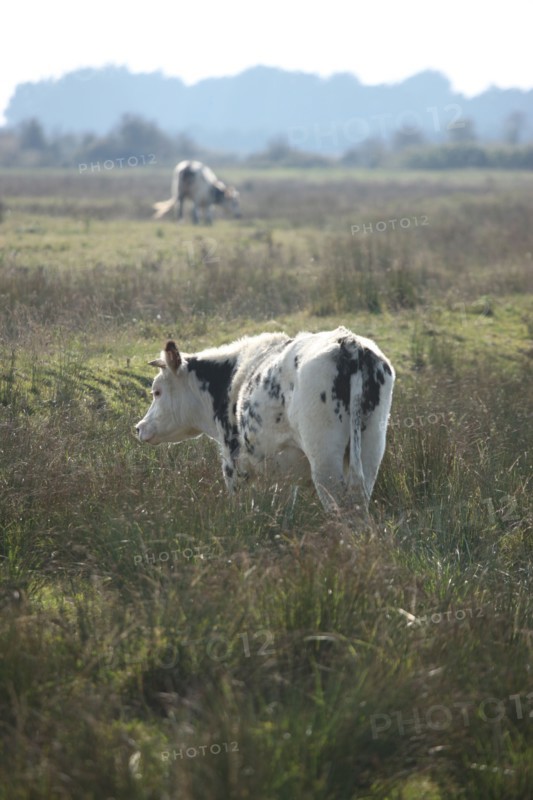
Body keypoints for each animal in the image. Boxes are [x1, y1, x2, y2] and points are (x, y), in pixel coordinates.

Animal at [135, 327, 395, 514]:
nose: (140, 427)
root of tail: (349, 344)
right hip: (370, 447)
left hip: (324, 457)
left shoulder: (233, 463)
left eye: (156, 391)